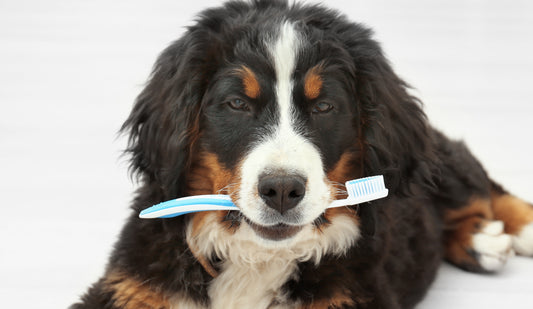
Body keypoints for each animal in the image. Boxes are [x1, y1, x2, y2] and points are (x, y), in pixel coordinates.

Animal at [70, 1, 532, 306]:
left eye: (324, 107)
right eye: (237, 104)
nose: (281, 190)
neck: (256, 259)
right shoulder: (131, 286)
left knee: (479, 187)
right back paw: (479, 241)